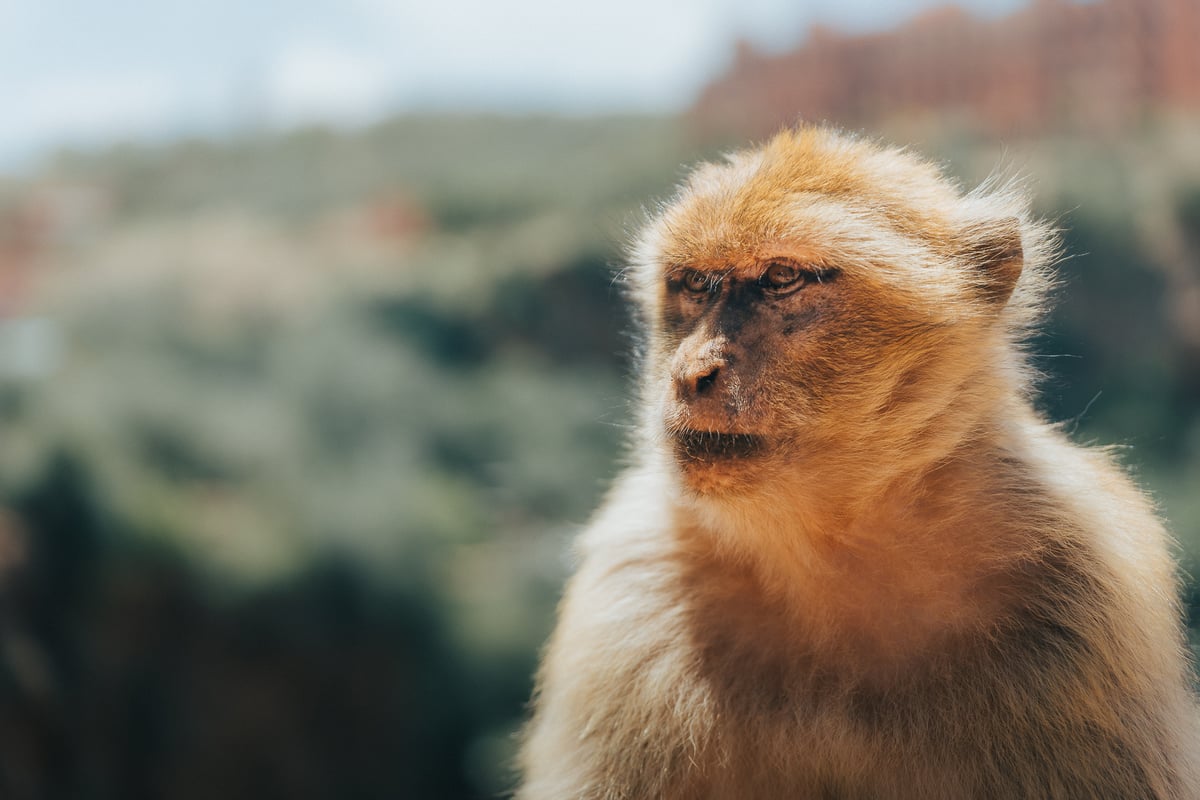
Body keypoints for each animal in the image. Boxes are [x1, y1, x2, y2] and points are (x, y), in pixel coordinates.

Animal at [516, 125, 1200, 800]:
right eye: (694, 284)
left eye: (780, 277)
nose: (690, 373)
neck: (831, 548)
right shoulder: (633, 598)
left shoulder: (1082, 587)